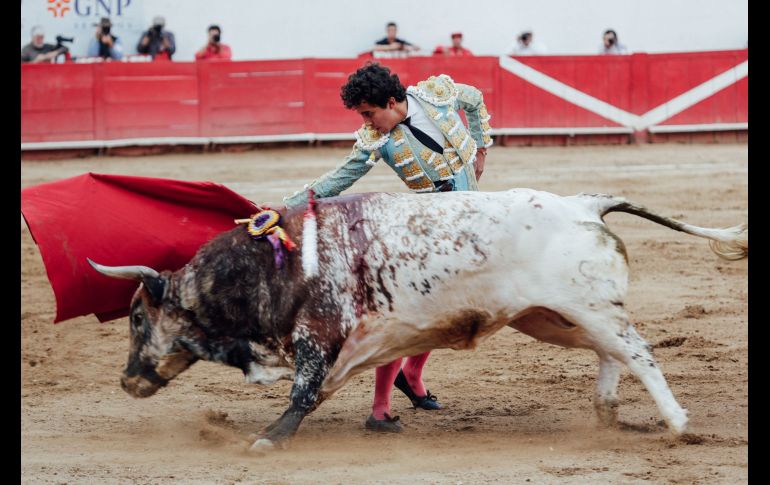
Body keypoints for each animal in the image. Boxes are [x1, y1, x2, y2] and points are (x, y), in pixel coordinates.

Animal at [88, 189, 744, 450]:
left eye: (136, 319)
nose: (125, 380)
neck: (271, 265)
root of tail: (584, 203)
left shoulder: (317, 337)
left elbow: (302, 393)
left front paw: (268, 439)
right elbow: (312, 389)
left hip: (580, 307)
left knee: (638, 350)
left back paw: (678, 423)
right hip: (551, 317)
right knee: (612, 350)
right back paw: (606, 412)